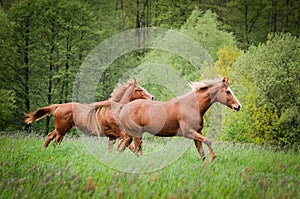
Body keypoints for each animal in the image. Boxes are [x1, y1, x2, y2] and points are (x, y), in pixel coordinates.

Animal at [24, 79, 154, 149]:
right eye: (139, 89)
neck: (115, 111)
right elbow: (129, 147)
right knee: (56, 141)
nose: (152, 97)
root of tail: (58, 106)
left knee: (50, 136)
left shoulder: (112, 137)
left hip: (60, 129)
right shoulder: (120, 133)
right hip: (62, 130)